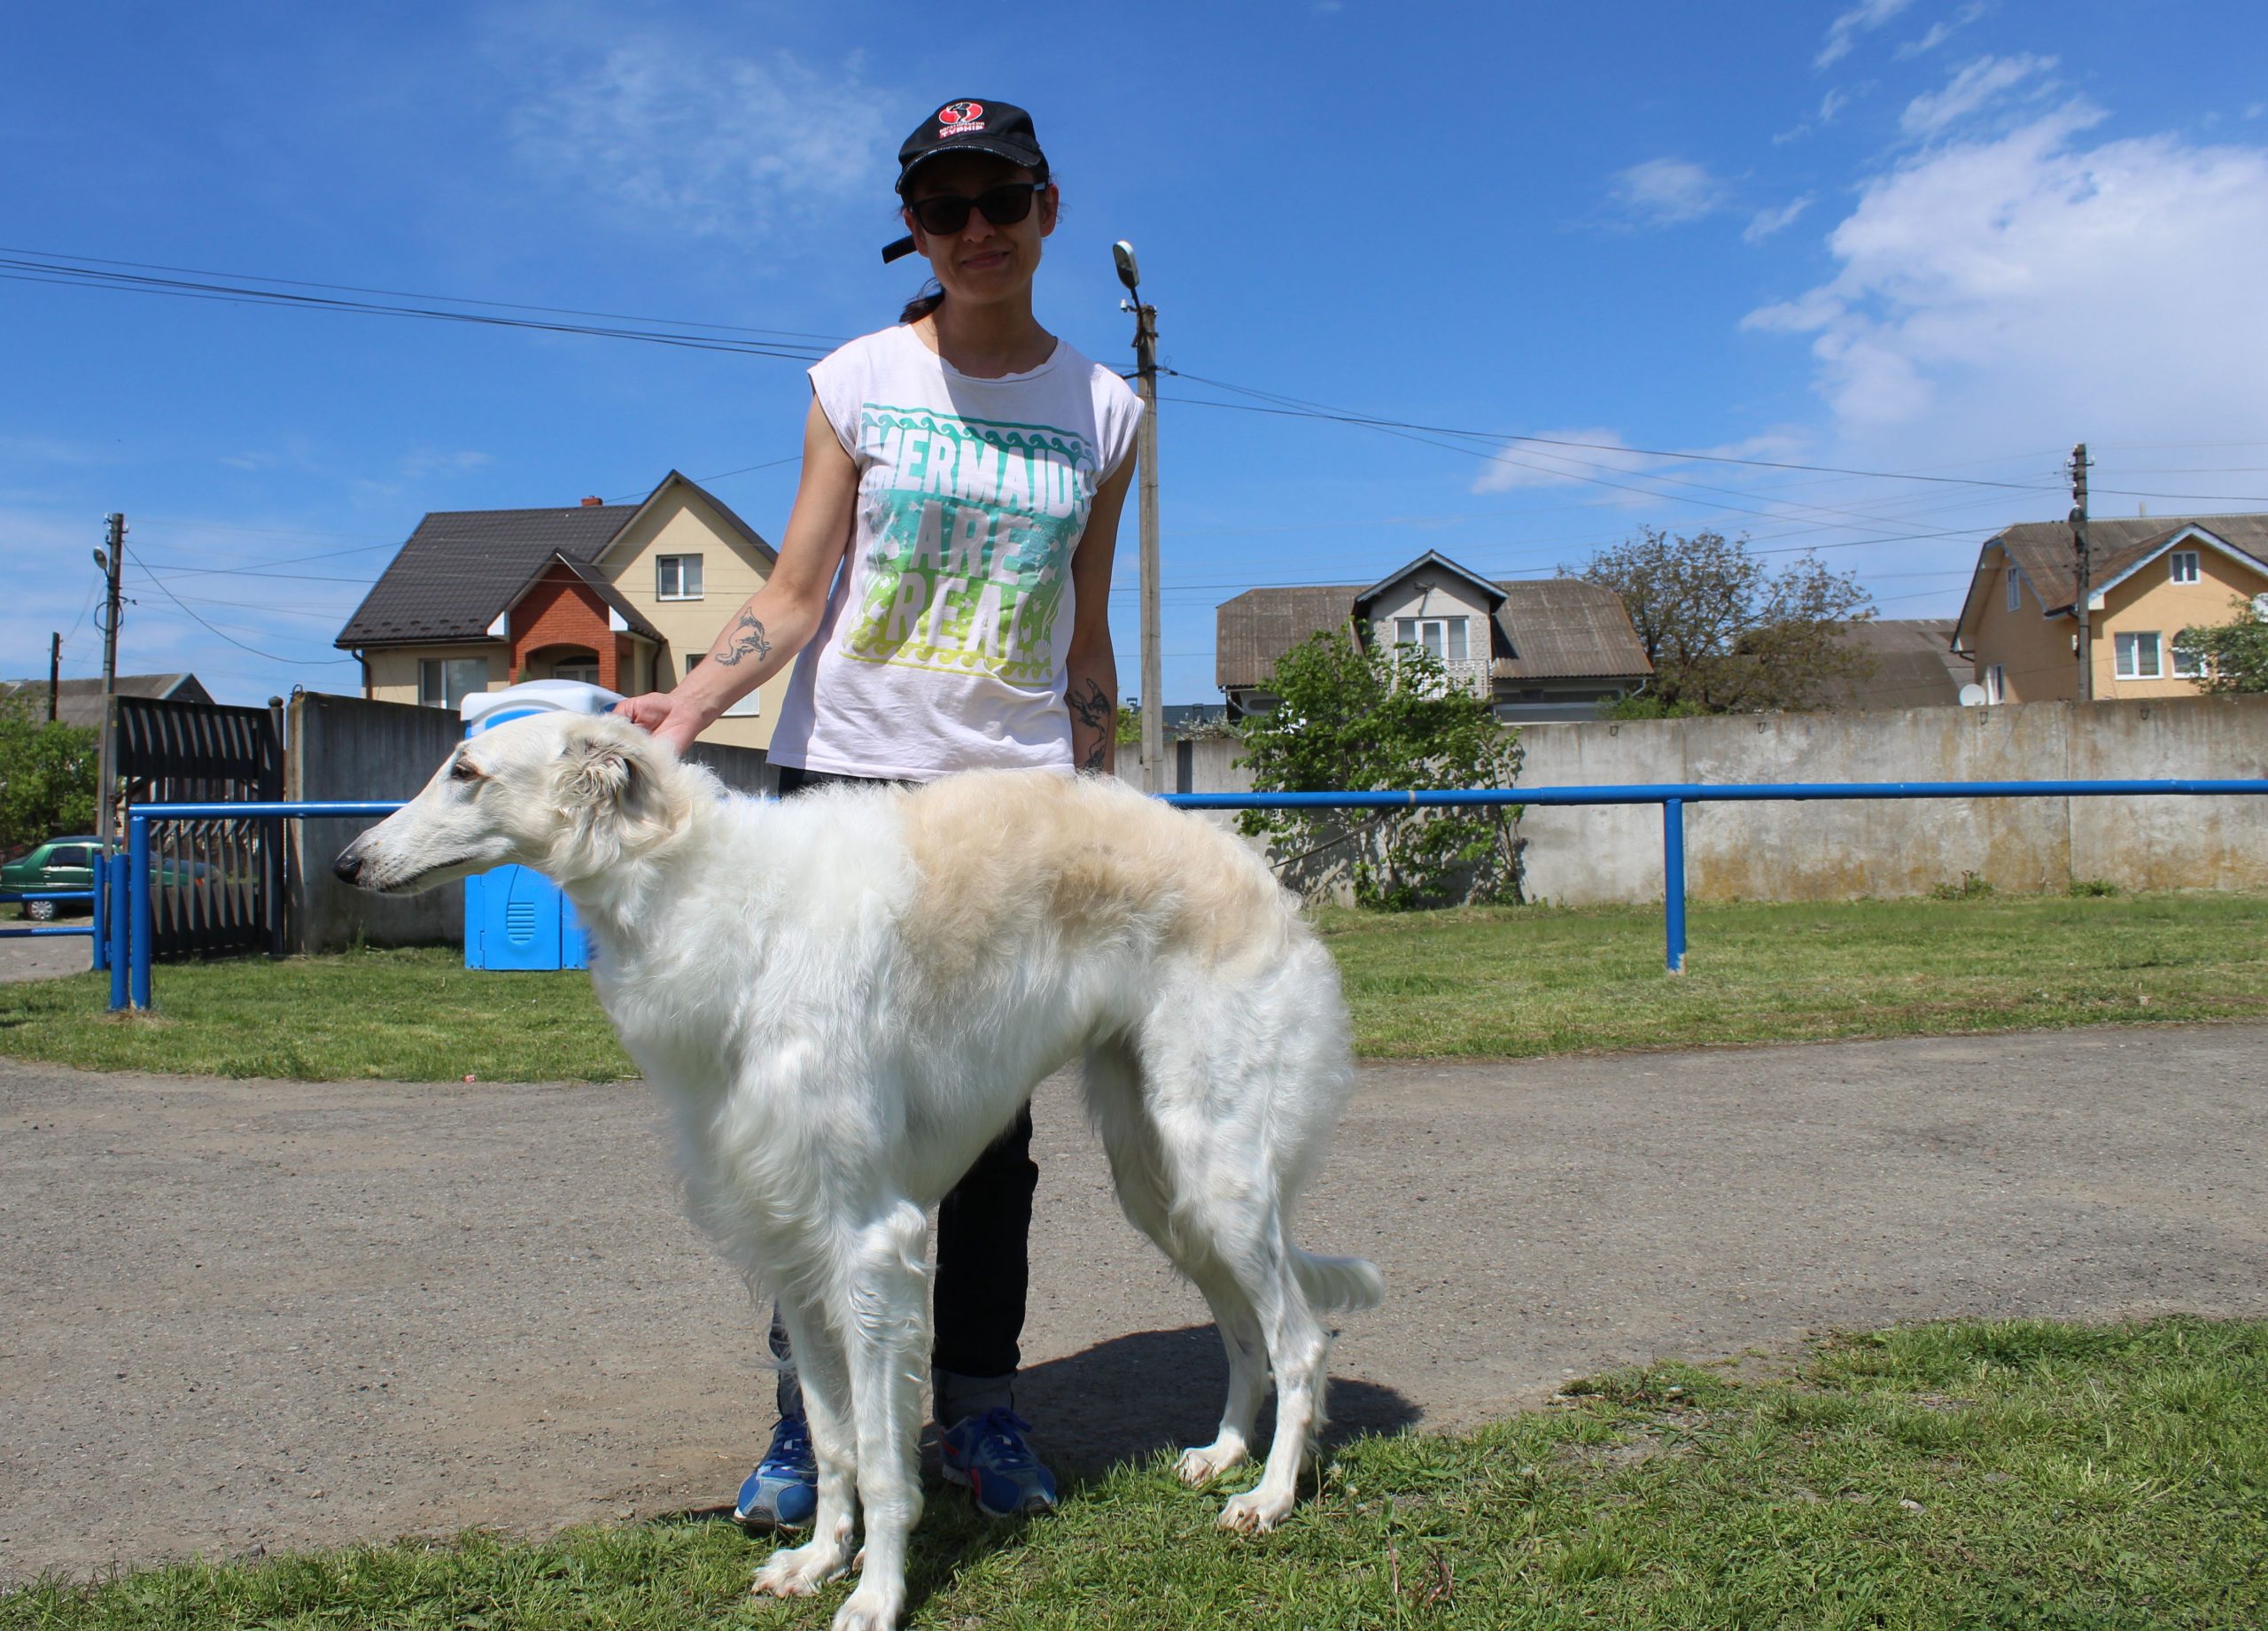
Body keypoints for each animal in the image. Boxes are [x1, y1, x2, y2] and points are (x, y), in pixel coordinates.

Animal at [333, 717, 1379, 1631]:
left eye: (465, 770)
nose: (348, 862)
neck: (715, 900)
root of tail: (1269, 888)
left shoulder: (874, 1241)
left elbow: (881, 1456)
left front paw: (876, 1594)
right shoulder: (791, 1244)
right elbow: (833, 1437)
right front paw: (818, 1558)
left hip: (1219, 1169)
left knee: (1297, 1338)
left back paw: (1270, 1495)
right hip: (1161, 1179)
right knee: (1242, 1331)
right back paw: (1224, 1453)